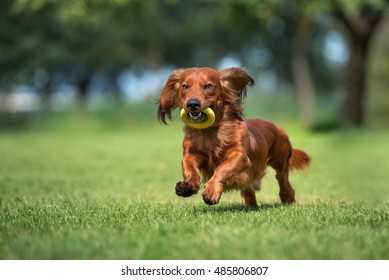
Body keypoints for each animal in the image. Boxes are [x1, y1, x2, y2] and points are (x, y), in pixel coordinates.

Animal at [156, 67, 310, 208]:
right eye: (185, 86)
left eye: (208, 85)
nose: (192, 104)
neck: (210, 133)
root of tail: (278, 129)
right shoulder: (190, 154)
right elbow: (189, 168)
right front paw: (187, 186)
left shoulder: (240, 156)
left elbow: (221, 169)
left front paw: (211, 191)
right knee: (249, 189)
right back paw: (251, 205)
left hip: (280, 161)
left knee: (282, 180)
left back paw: (287, 198)